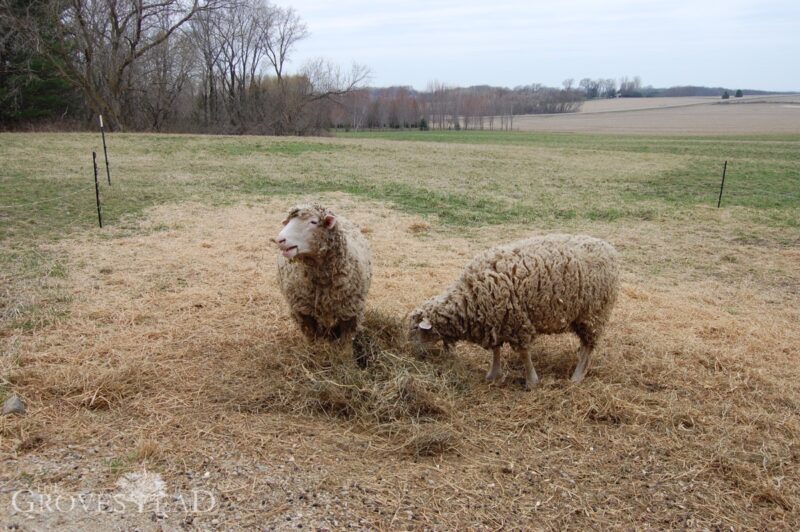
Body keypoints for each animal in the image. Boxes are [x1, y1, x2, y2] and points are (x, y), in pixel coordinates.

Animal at [274, 204, 374, 362]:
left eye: (314, 222)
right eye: (288, 222)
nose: (279, 240)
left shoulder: (351, 312)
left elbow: (347, 340)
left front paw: (347, 361)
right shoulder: (302, 311)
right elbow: (310, 336)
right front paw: (312, 353)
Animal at [406, 235, 620, 388]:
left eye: (416, 330)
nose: (410, 354)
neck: (469, 297)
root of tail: (610, 250)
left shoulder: (517, 322)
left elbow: (524, 354)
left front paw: (532, 382)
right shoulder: (494, 320)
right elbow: (496, 350)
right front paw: (493, 374)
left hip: (594, 314)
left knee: (589, 346)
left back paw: (577, 376)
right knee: (586, 345)